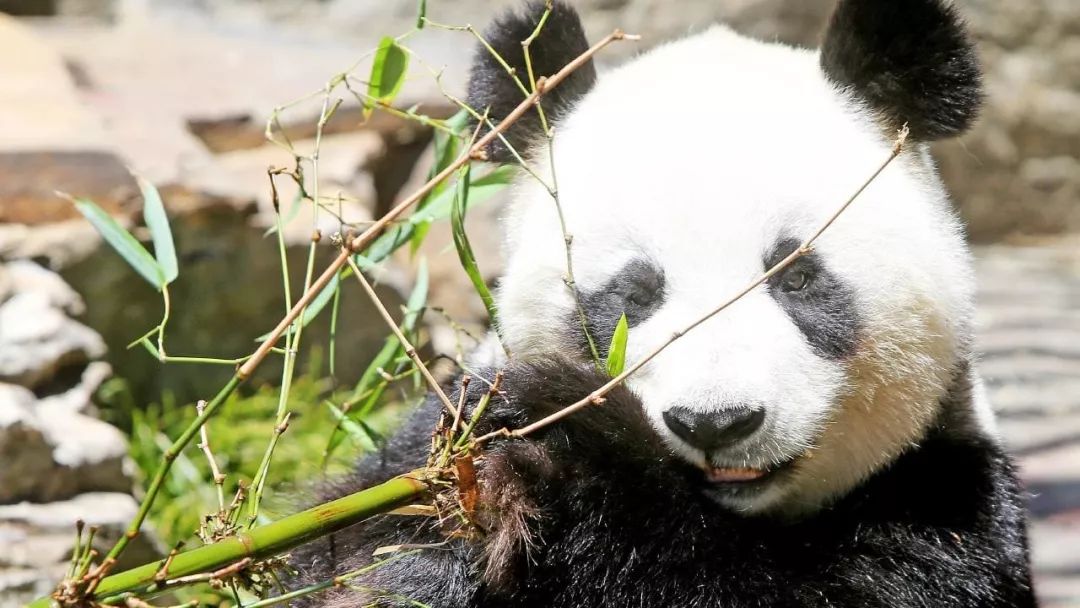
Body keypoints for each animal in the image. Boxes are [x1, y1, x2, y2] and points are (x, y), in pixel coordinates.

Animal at [287, 0, 1036, 604]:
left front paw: (574, 452)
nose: (716, 422)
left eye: (794, 277)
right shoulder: (417, 444)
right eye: (633, 293)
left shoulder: (945, 503)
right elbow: (343, 547)